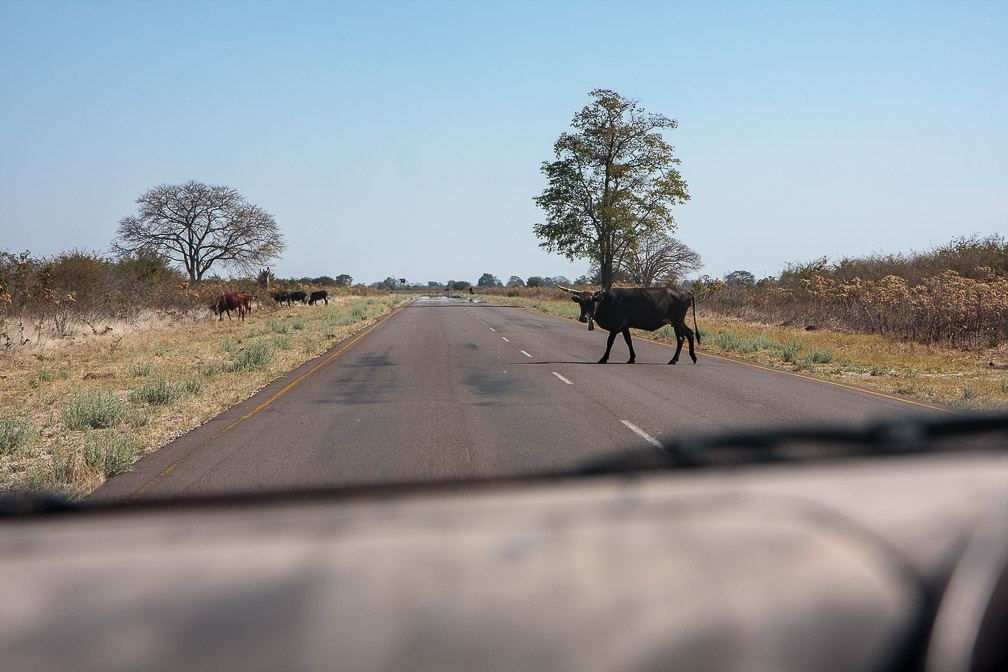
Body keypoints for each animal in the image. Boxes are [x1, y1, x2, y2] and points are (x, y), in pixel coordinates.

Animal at [560, 286, 701, 364]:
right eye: (581, 302)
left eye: (592, 301)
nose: (583, 318)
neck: (607, 301)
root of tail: (686, 292)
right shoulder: (624, 327)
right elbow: (629, 341)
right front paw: (632, 358)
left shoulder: (615, 327)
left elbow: (609, 342)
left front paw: (604, 358)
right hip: (680, 322)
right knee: (690, 334)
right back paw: (693, 357)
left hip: (677, 322)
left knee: (681, 339)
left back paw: (674, 360)